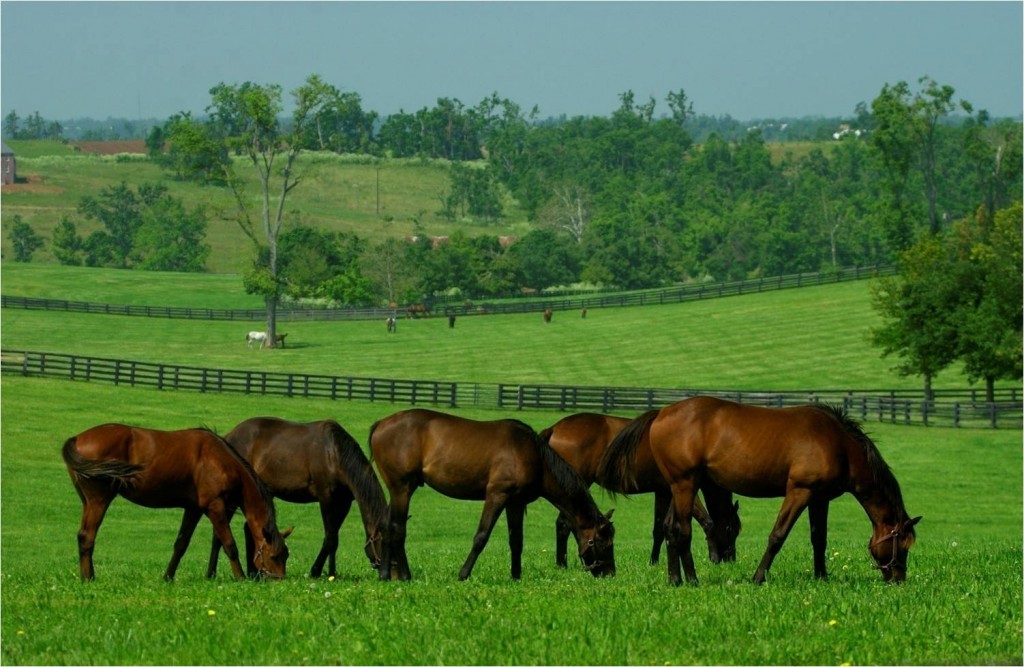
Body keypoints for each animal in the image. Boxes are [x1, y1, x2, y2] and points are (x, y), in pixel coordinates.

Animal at [61, 426, 290, 581]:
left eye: (286, 556)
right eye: (274, 556)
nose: (278, 582)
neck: (218, 458)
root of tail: (77, 438)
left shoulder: (193, 509)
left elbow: (181, 544)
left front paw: (168, 577)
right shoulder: (214, 507)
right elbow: (229, 544)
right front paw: (241, 578)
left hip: (87, 502)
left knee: (83, 537)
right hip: (98, 500)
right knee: (87, 537)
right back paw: (89, 578)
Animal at [207, 418, 387, 577]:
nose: (388, 573)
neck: (334, 455)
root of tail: (229, 436)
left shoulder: (344, 503)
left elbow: (333, 538)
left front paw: (328, 572)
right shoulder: (326, 498)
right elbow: (331, 539)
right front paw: (320, 572)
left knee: (249, 529)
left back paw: (254, 573)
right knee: (218, 535)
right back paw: (212, 573)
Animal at [370, 407, 614, 577]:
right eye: (603, 542)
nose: (610, 573)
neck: (534, 456)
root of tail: (381, 424)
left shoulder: (515, 503)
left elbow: (516, 540)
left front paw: (516, 576)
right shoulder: (497, 495)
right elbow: (482, 536)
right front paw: (463, 574)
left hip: (399, 489)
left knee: (385, 526)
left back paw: (384, 574)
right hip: (402, 488)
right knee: (397, 528)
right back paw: (405, 575)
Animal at [540, 411, 741, 569]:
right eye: (732, 529)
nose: (731, 559)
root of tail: (555, 428)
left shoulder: (663, 491)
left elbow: (659, 528)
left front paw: (653, 562)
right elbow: (707, 521)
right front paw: (714, 557)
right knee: (564, 524)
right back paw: (563, 564)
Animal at [593, 399, 921, 586]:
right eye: (902, 546)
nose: (898, 579)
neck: (839, 444)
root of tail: (661, 413)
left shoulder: (819, 499)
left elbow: (819, 539)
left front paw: (822, 576)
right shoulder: (799, 491)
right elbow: (777, 536)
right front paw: (758, 577)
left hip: (679, 487)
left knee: (671, 529)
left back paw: (677, 578)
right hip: (685, 484)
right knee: (680, 531)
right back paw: (689, 580)